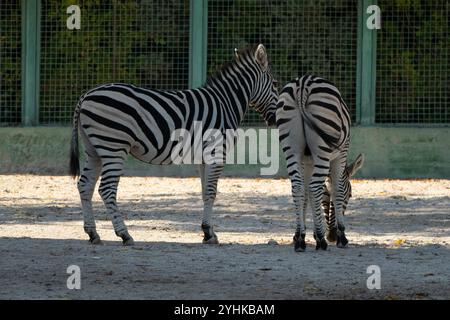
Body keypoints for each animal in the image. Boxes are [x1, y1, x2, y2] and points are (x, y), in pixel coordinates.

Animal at [69, 43, 278, 246]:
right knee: (107, 189)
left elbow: (205, 192)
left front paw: (207, 232)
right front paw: (209, 233)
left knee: (85, 185)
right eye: (276, 85)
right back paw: (124, 234)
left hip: (94, 149)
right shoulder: (217, 152)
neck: (225, 103)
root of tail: (86, 95)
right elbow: (212, 192)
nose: (275, 121)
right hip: (114, 147)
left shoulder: (204, 157)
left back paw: (93, 233)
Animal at [276, 75, 364, 252]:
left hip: (291, 147)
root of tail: (303, 84)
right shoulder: (341, 153)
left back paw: (302, 242)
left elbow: (305, 195)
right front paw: (340, 237)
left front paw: (299, 235)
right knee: (315, 187)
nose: (331, 236)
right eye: (350, 195)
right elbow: (337, 189)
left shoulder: (306, 161)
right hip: (323, 147)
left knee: (297, 187)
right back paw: (322, 242)